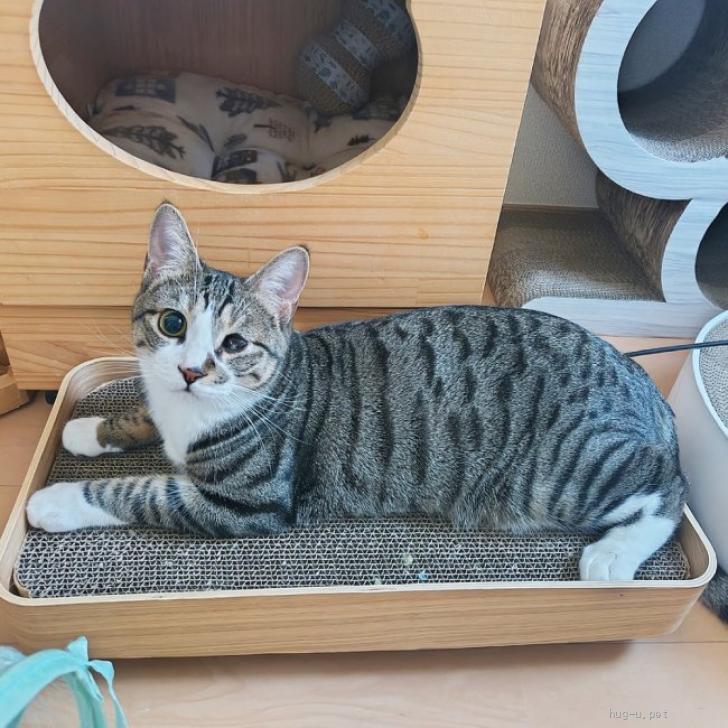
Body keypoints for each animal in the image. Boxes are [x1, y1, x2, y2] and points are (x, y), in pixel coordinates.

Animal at [27, 202, 688, 582]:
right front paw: (91, 428)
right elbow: (142, 414)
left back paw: (613, 555)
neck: (192, 412)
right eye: (172, 324)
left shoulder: (248, 501)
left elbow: (141, 491)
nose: (192, 371)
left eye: (235, 344)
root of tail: (634, 375)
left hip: (564, 471)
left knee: (668, 487)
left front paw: (57, 500)